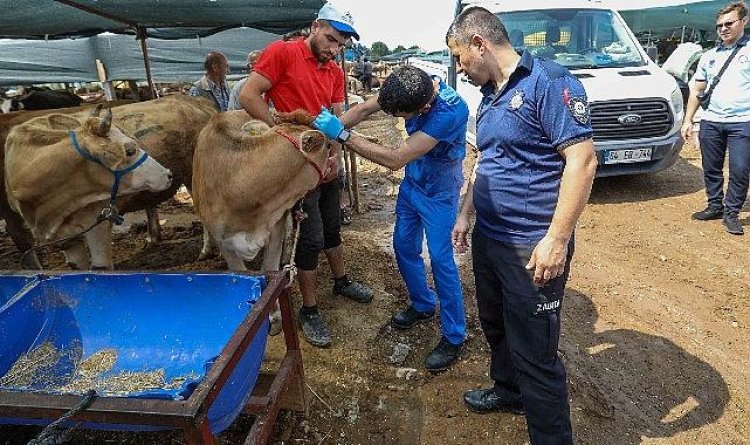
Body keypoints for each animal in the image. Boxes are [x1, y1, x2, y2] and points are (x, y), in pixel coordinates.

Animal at [195, 110, 330, 332]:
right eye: (327, 146)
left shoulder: (276, 225)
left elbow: (269, 266)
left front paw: (274, 315)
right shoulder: (223, 242)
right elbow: (241, 272)